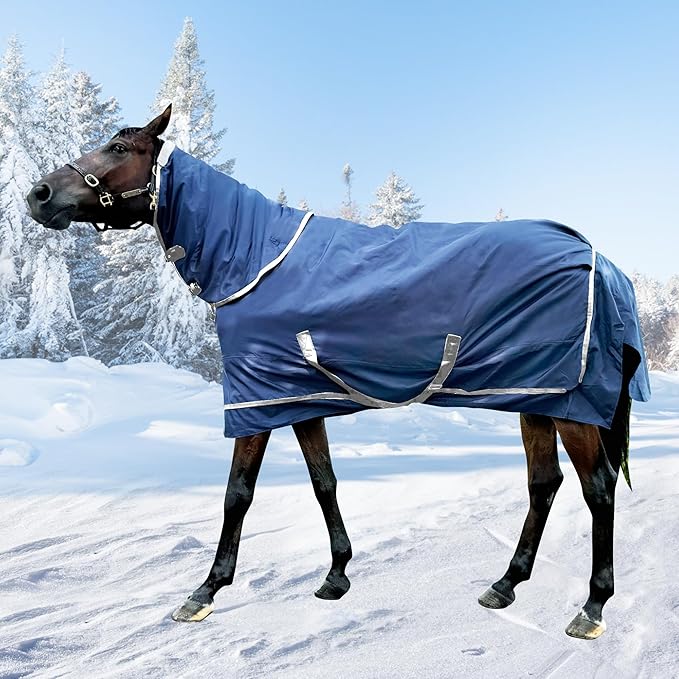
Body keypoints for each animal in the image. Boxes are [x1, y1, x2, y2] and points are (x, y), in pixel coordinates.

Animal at [26, 105, 650, 640]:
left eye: (118, 147)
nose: (38, 195)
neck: (254, 258)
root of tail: (599, 259)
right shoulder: (297, 398)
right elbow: (322, 481)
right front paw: (336, 575)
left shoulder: (255, 401)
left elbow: (237, 493)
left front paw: (206, 590)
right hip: (537, 396)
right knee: (544, 483)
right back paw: (505, 584)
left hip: (570, 406)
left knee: (598, 490)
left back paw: (592, 607)